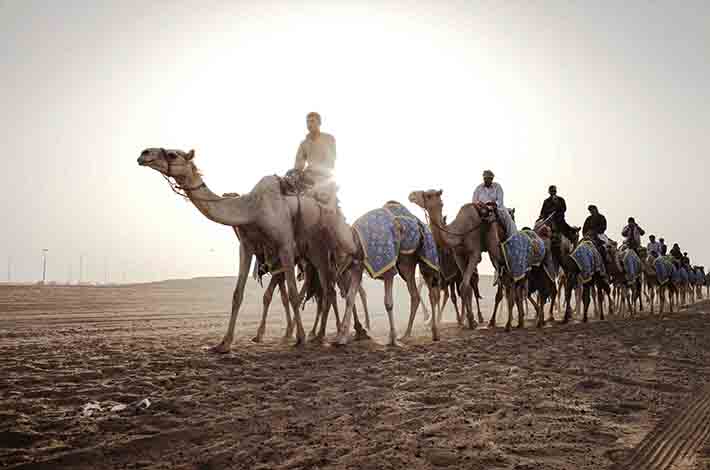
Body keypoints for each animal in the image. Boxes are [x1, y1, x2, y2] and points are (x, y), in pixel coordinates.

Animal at [139, 149, 362, 350]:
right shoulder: (247, 247)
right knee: (328, 291)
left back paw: (340, 334)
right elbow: (238, 294)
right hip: (312, 255)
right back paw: (324, 335)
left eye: (172, 154)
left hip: (324, 247)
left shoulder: (285, 245)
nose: (143, 154)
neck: (251, 208)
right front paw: (224, 343)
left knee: (337, 283)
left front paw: (300, 338)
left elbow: (292, 293)